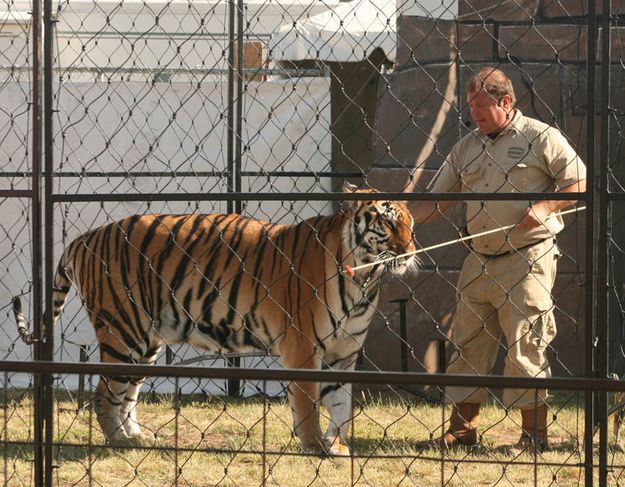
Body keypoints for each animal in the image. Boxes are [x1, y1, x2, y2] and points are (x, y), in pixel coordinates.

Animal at [12, 181, 416, 456]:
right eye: (386, 223)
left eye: (410, 223)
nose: (411, 249)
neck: (365, 277)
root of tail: (85, 236)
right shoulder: (304, 350)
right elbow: (308, 404)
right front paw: (317, 446)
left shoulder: (343, 354)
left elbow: (342, 405)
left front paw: (340, 446)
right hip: (122, 330)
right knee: (104, 392)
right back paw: (116, 440)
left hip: (145, 340)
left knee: (127, 392)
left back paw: (135, 438)